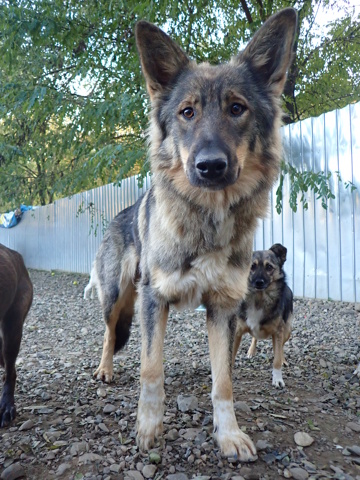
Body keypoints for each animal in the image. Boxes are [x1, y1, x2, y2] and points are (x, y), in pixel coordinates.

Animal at [233, 246, 292, 388]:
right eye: (252, 266)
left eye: (269, 267)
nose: (259, 282)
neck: (258, 299)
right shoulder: (237, 332)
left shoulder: (278, 332)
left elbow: (276, 359)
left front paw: (277, 379)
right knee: (255, 337)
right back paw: (251, 351)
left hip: (287, 330)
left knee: (281, 347)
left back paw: (283, 359)